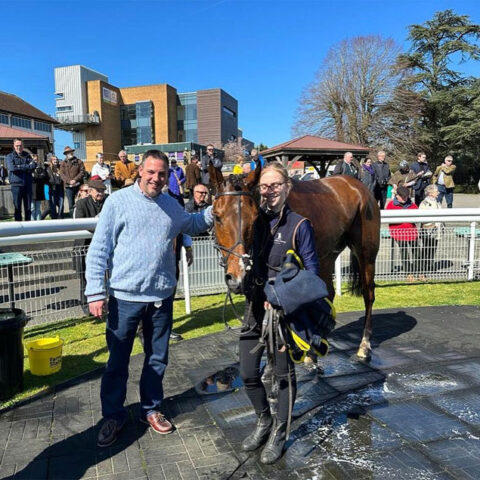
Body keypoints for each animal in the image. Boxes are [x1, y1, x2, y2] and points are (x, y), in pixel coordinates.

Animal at [208, 163, 380, 358]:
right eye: (217, 216)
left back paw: (364, 344)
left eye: (254, 217)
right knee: (328, 293)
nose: (237, 277)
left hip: (366, 254)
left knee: (368, 293)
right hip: (327, 255)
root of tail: (359, 187)